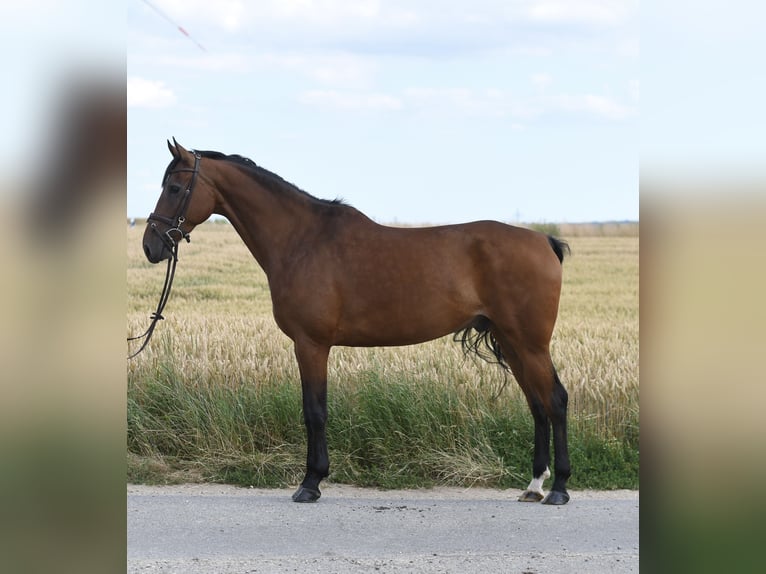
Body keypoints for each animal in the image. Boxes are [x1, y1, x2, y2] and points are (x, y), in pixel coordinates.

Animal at [142, 139, 572, 505]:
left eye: (175, 188)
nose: (151, 245)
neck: (302, 240)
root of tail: (545, 241)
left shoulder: (311, 344)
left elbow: (314, 411)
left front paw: (310, 483)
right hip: (511, 341)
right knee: (537, 404)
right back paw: (535, 485)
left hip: (529, 343)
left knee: (555, 400)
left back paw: (559, 489)